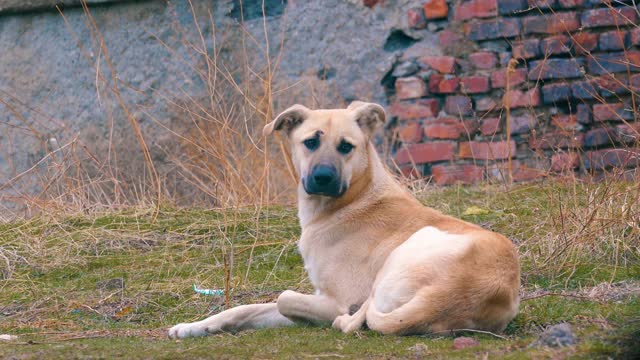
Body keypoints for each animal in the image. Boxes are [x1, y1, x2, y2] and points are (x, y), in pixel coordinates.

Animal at [169, 101, 520, 338]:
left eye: (346, 146)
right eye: (311, 142)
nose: (323, 177)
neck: (350, 201)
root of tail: (451, 294)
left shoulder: (333, 301)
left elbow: (283, 298)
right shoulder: (317, 298)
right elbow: (244, 309)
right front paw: (192, 327)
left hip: (407, 251)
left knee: (354, 320)